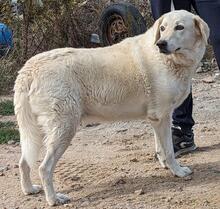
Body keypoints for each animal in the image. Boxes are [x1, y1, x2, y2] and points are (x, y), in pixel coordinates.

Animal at [14, 10, 210, 206]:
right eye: (162, 28)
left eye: (179, 27)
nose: (161, 43)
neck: (169, 60)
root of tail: (29, 69)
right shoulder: (163, 116)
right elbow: (169, 151)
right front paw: (178, 171)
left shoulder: (157, 119)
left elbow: (160, 148)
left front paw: (164, 166)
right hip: (64, 128)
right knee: (43, 168)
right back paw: (54, 199)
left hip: (36, 131)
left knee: (23, 162)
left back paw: (29, 190)